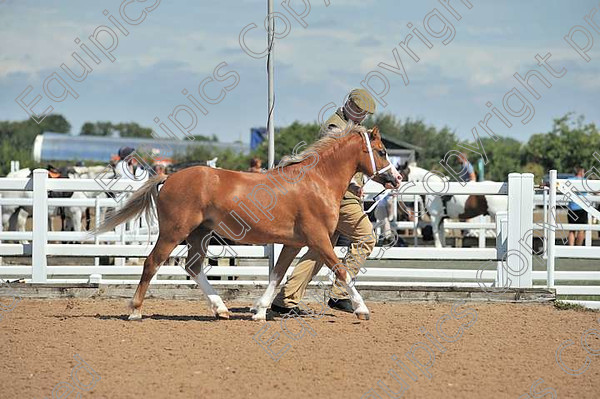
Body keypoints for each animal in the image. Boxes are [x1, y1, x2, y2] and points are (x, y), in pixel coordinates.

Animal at [96, 126, 400, 322]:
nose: (396, 179)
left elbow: (277, 275)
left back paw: (221, 309)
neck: (317, 181)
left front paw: (260, 311)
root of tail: (168, 177)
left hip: (200, 234)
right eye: (382, 151)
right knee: (152, 262)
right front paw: (361, 309)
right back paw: (135, 311)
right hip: (174, 232)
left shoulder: (293, 244)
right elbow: (341, 270)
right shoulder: (319, 239)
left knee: (193, 267)